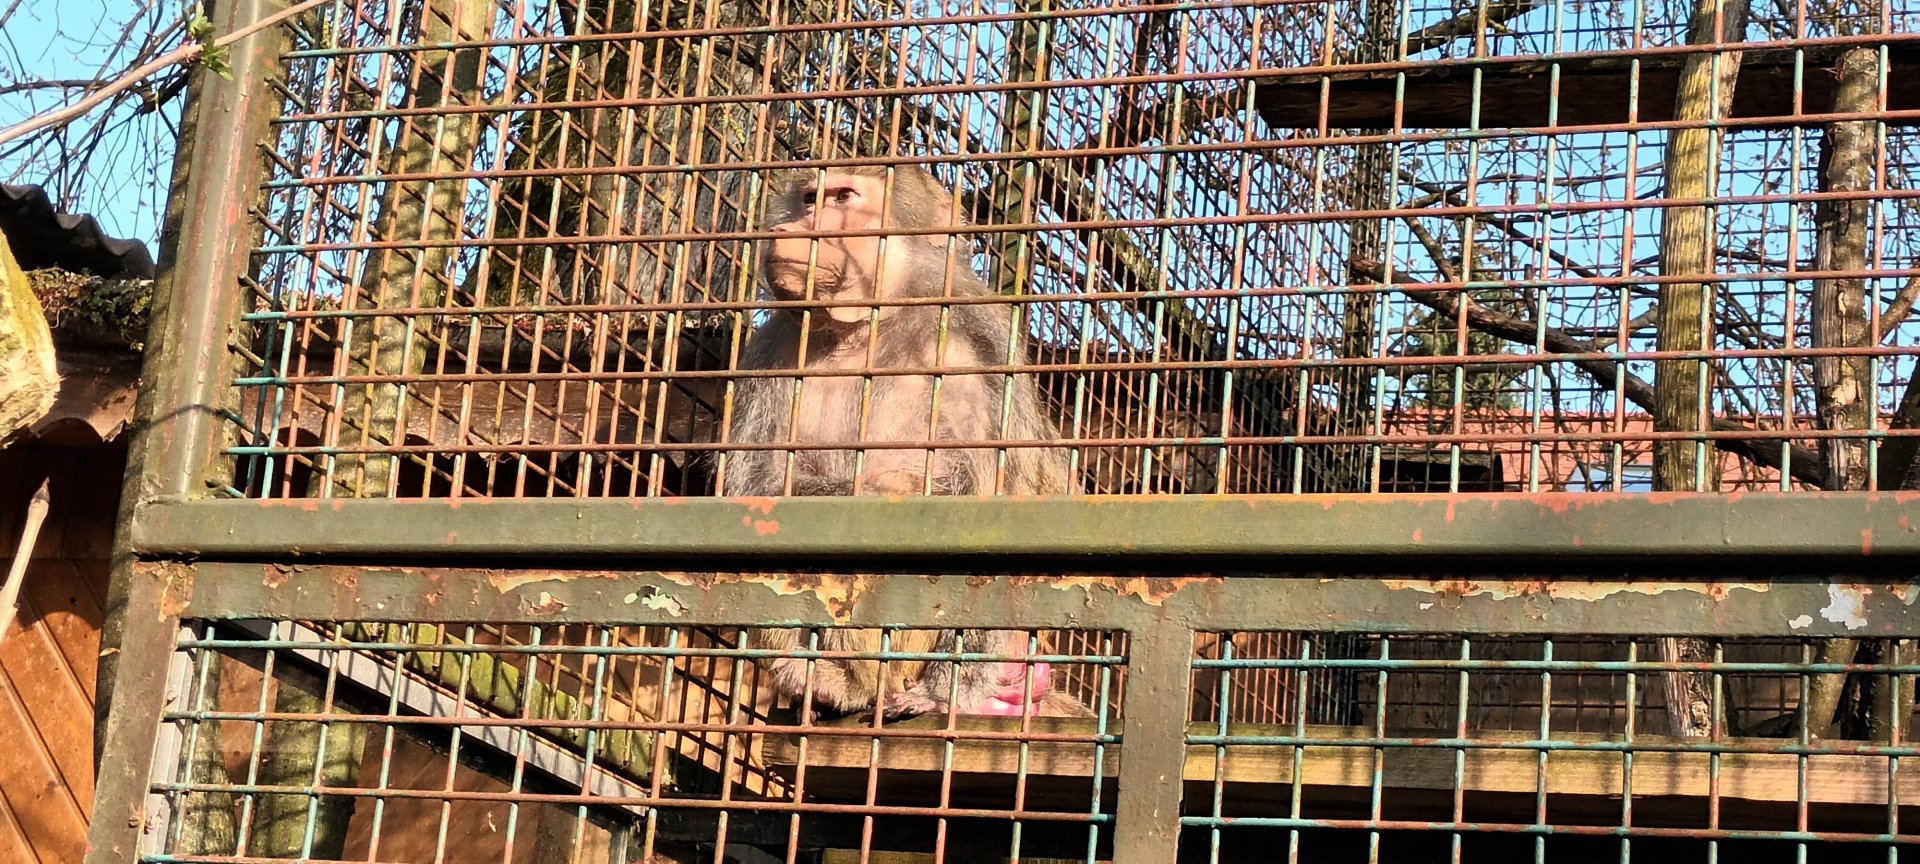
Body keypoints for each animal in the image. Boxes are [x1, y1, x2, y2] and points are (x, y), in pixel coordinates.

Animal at [721, 164, 1092, 722]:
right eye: (809, 199)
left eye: (844, 198)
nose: (788, 229)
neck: (868, 329)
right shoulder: (774, 353)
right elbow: (756, 494)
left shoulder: (974, 346)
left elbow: (1000, 509)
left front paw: (949, 691)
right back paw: (829, 680)